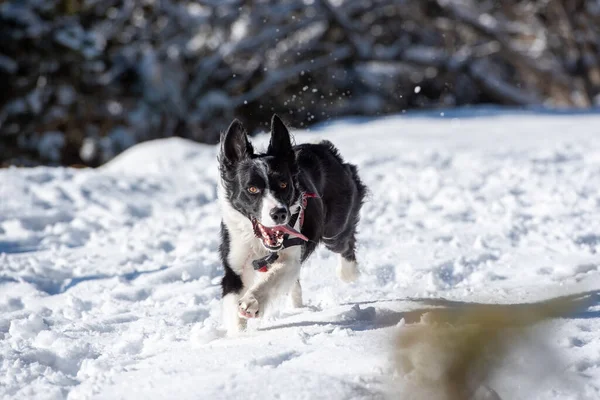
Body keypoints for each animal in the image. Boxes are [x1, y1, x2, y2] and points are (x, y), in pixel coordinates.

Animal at [216, 115, 366, 334]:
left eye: (284, 184)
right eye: (252, 189)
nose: (279, 213)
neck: (259, 241)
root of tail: (326, 148)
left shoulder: (291, 251)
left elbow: (273, 277)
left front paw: (251, 303)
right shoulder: (234, 262)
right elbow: (233, 299)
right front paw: (238, 333)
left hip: (335, 228)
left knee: (345, 243)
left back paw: (349, 273)